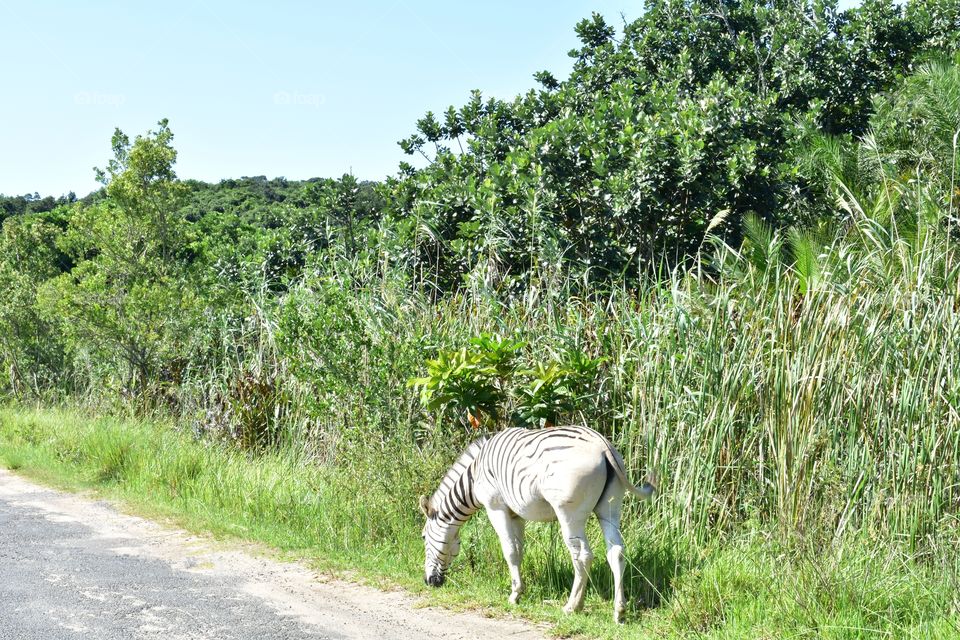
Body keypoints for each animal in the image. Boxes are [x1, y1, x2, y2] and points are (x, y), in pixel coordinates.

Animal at [419, 425, 656, 623]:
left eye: (423, 537)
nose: (429, 582)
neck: (474, 476)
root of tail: (602, 445)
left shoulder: (495, 507)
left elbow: (509, 550)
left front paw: (514, 595)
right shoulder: (516, 514)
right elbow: (518, 550)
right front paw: (519, 591)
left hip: (570, 513)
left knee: (582, 556)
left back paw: (573, 606)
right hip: (610, 508)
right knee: (616, 552)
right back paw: (619, 611)